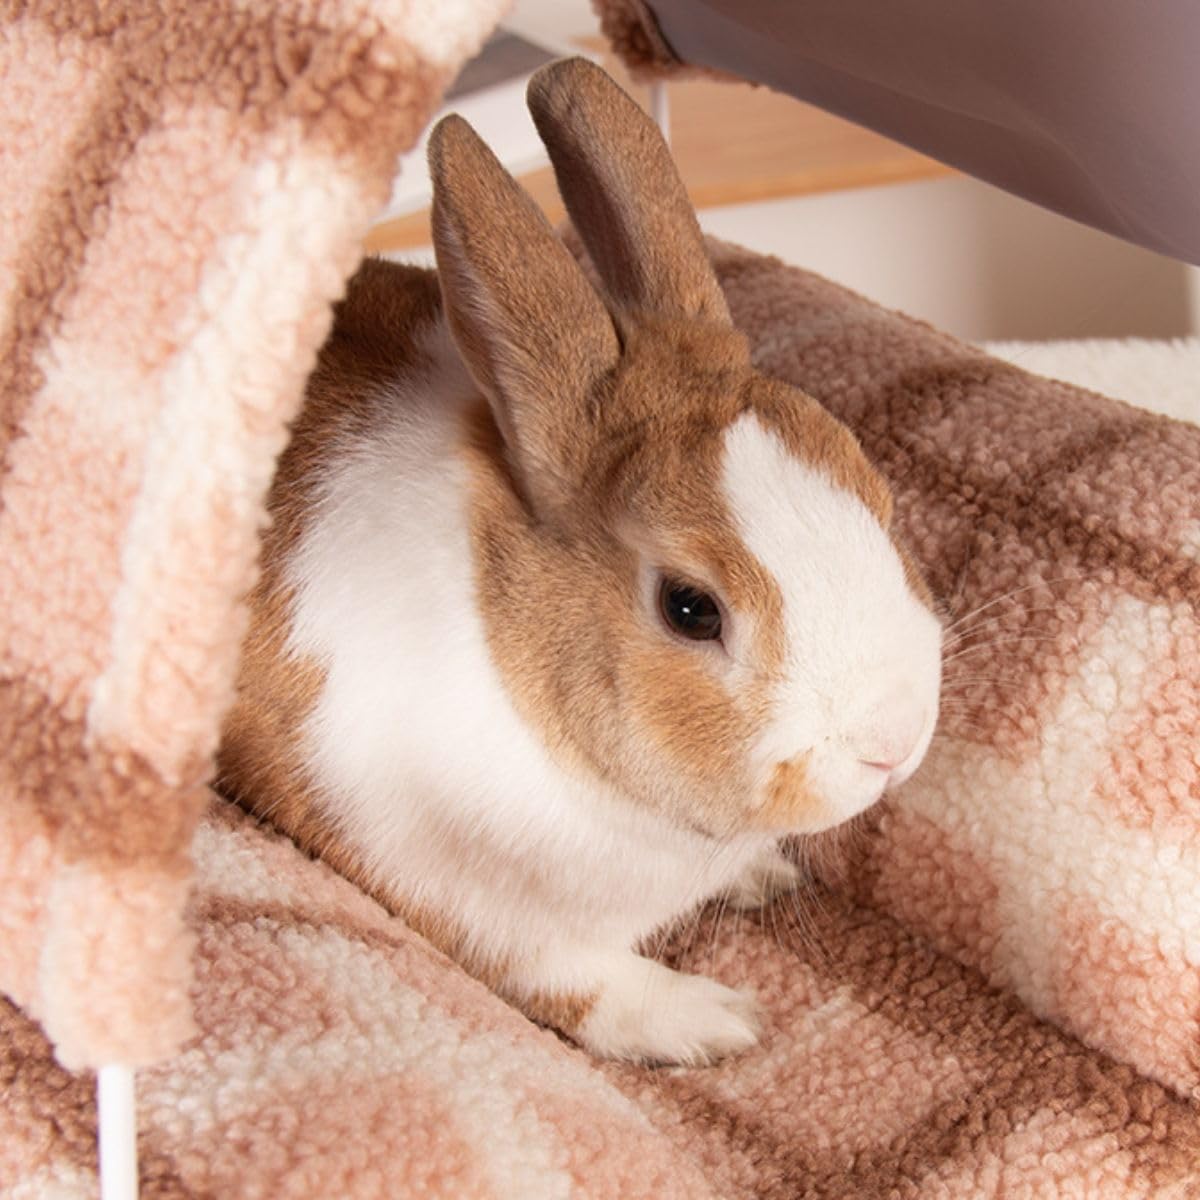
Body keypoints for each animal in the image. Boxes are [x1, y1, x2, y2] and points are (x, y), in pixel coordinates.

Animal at [217, 56, 943, 1066]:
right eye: (690, 608)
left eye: (872, 487)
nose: (896, 742)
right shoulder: (474, 912)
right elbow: (586, 991)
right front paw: (718, 1021)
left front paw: (764, 876)